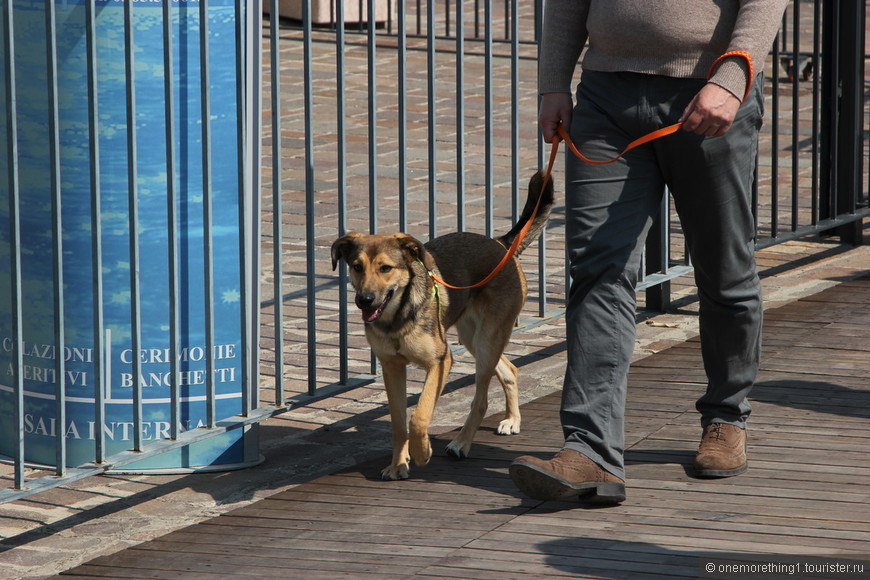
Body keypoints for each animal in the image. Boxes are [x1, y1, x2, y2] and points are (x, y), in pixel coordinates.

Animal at [330, 171, 556, 480]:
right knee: (509, 370)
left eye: (386, 268)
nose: (364, 300)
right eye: (356, 266)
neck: (397, 316)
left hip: (487, 339)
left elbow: (420, 415)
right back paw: (512, 419)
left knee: (481, 400)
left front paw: (421, 452)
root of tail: (501, 244)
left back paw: (461, 443)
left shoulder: (440, 361)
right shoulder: (391, 367)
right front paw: (398, 464)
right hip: (475, 338)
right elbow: (398, 422)